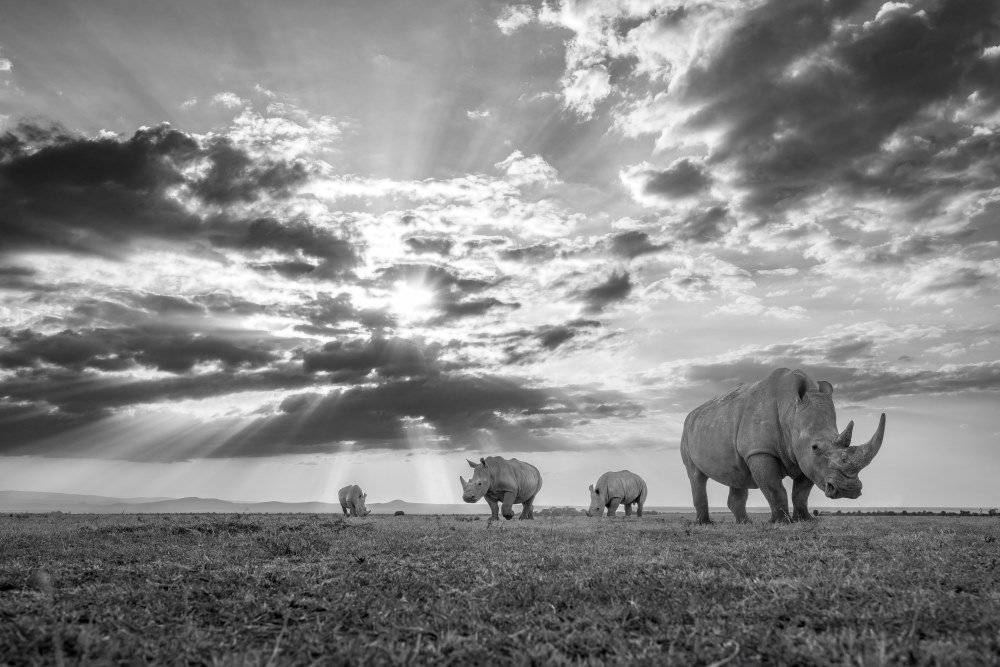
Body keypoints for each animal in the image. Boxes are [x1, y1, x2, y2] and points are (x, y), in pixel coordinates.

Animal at [681, 368, 886, 524]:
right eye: (815, 447)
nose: (848, 490)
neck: (791, 411)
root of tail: (692, 414)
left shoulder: (804, 458)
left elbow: (801, 493)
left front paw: (805, 520)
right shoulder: (760, 451)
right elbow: (774, 488)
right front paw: (781, 522)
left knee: (736, 475)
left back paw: (745, 523)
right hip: (687, 432)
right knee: (696, 476)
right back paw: (704, 523)